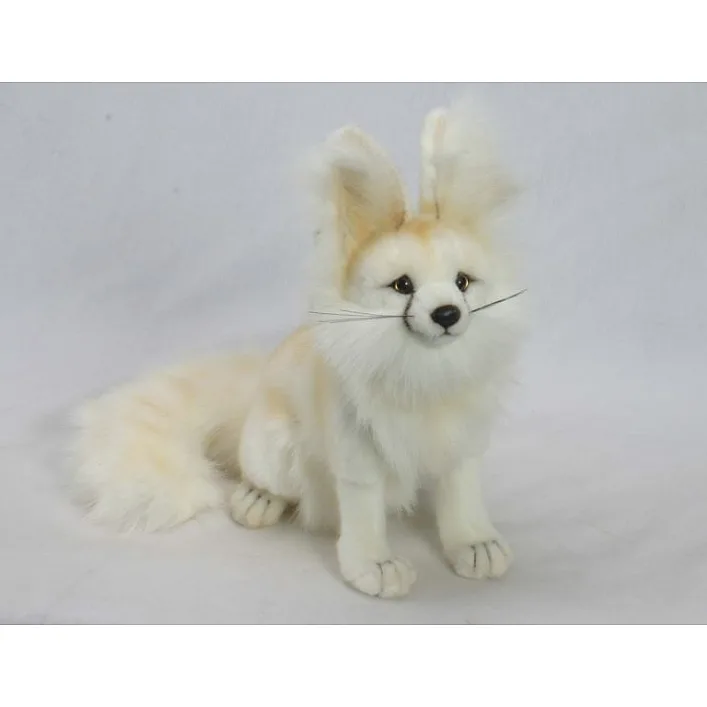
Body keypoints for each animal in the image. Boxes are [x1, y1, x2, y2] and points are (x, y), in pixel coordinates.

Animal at [70, 97, 526, 598]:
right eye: (403, 286)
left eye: (463, 282)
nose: (447, 314)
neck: (422, 372)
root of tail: (255, 390)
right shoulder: (356, 454)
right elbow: (364, 510)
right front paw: (375, 565)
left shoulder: (461, 446)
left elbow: (462, 495)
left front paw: (475, 544)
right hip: (275, 451)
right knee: (267, 479)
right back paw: (256, 500)